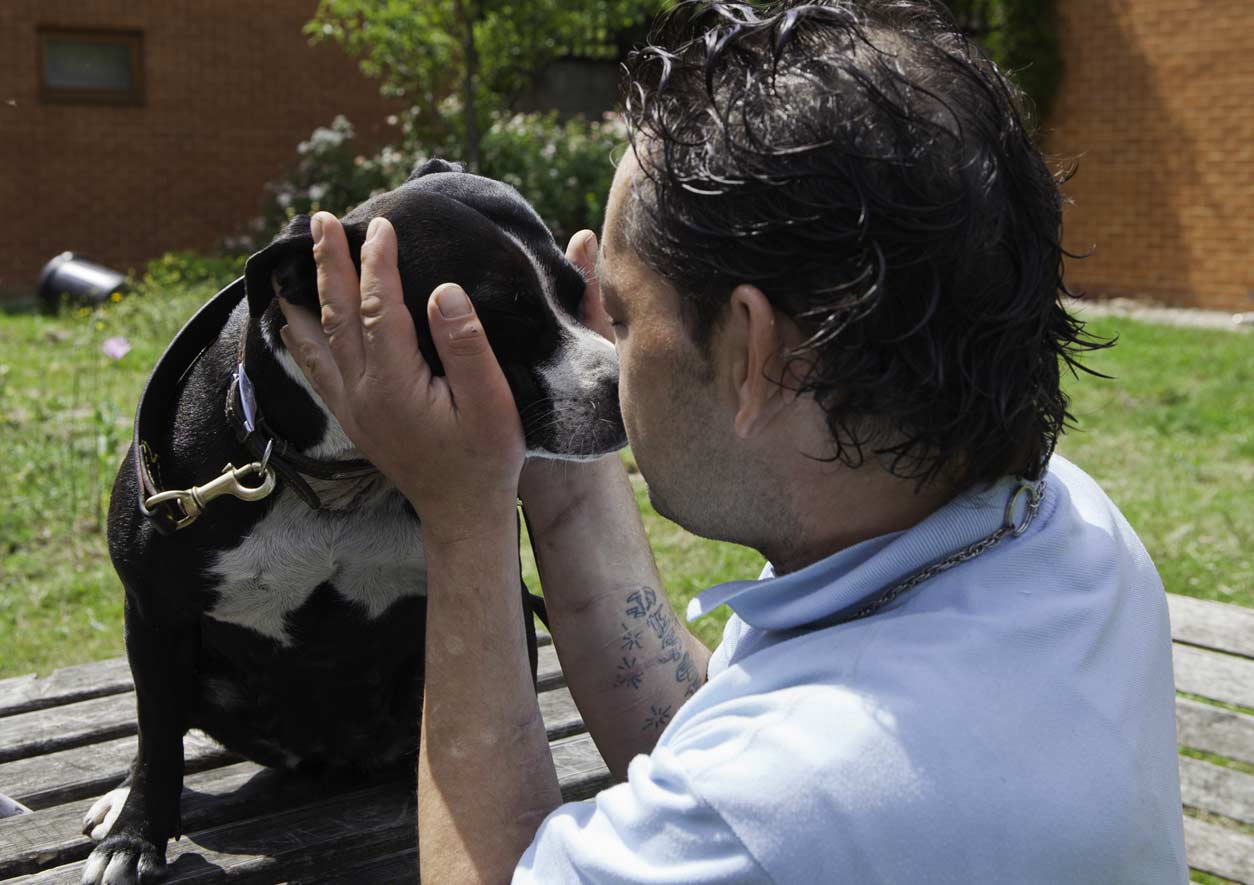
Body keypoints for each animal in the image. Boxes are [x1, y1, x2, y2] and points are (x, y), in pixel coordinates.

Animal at [80, 160, 624, 882]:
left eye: (574, 290)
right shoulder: (154, 614)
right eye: (501, 313)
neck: (335, 478)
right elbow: (158, 732)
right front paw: (135, 833)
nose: (622, 388)